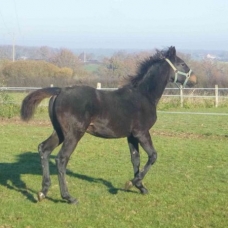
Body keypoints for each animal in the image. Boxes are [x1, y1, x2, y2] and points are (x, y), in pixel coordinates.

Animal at [20, 45, 197, 203]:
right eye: (182, 63)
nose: (194, 80)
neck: (144, 95)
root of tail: (60, 91)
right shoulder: (142, 132)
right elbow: (153, 156)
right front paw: (131, 183)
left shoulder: (131, 136)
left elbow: (136, 159)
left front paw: (140, 187)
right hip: (73, 134)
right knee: (61, 158)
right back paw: (68, 197)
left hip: (59, 132)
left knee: (44, 149)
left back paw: (42, 192)